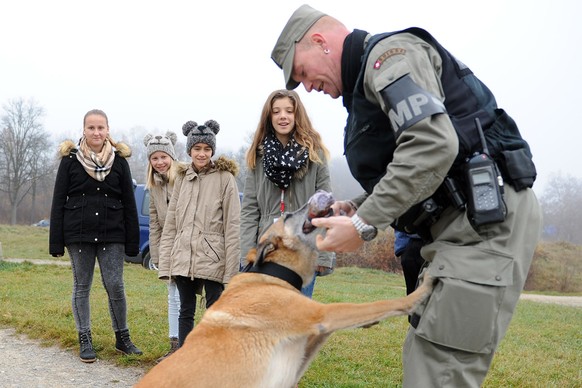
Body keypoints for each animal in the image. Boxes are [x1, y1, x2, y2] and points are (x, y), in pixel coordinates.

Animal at [137, 192, 436, 388]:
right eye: (289, 214)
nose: (324, 196)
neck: (271, 274)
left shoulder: (303, 348)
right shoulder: (320, 315)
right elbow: (376, 305)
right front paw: (420, 292)